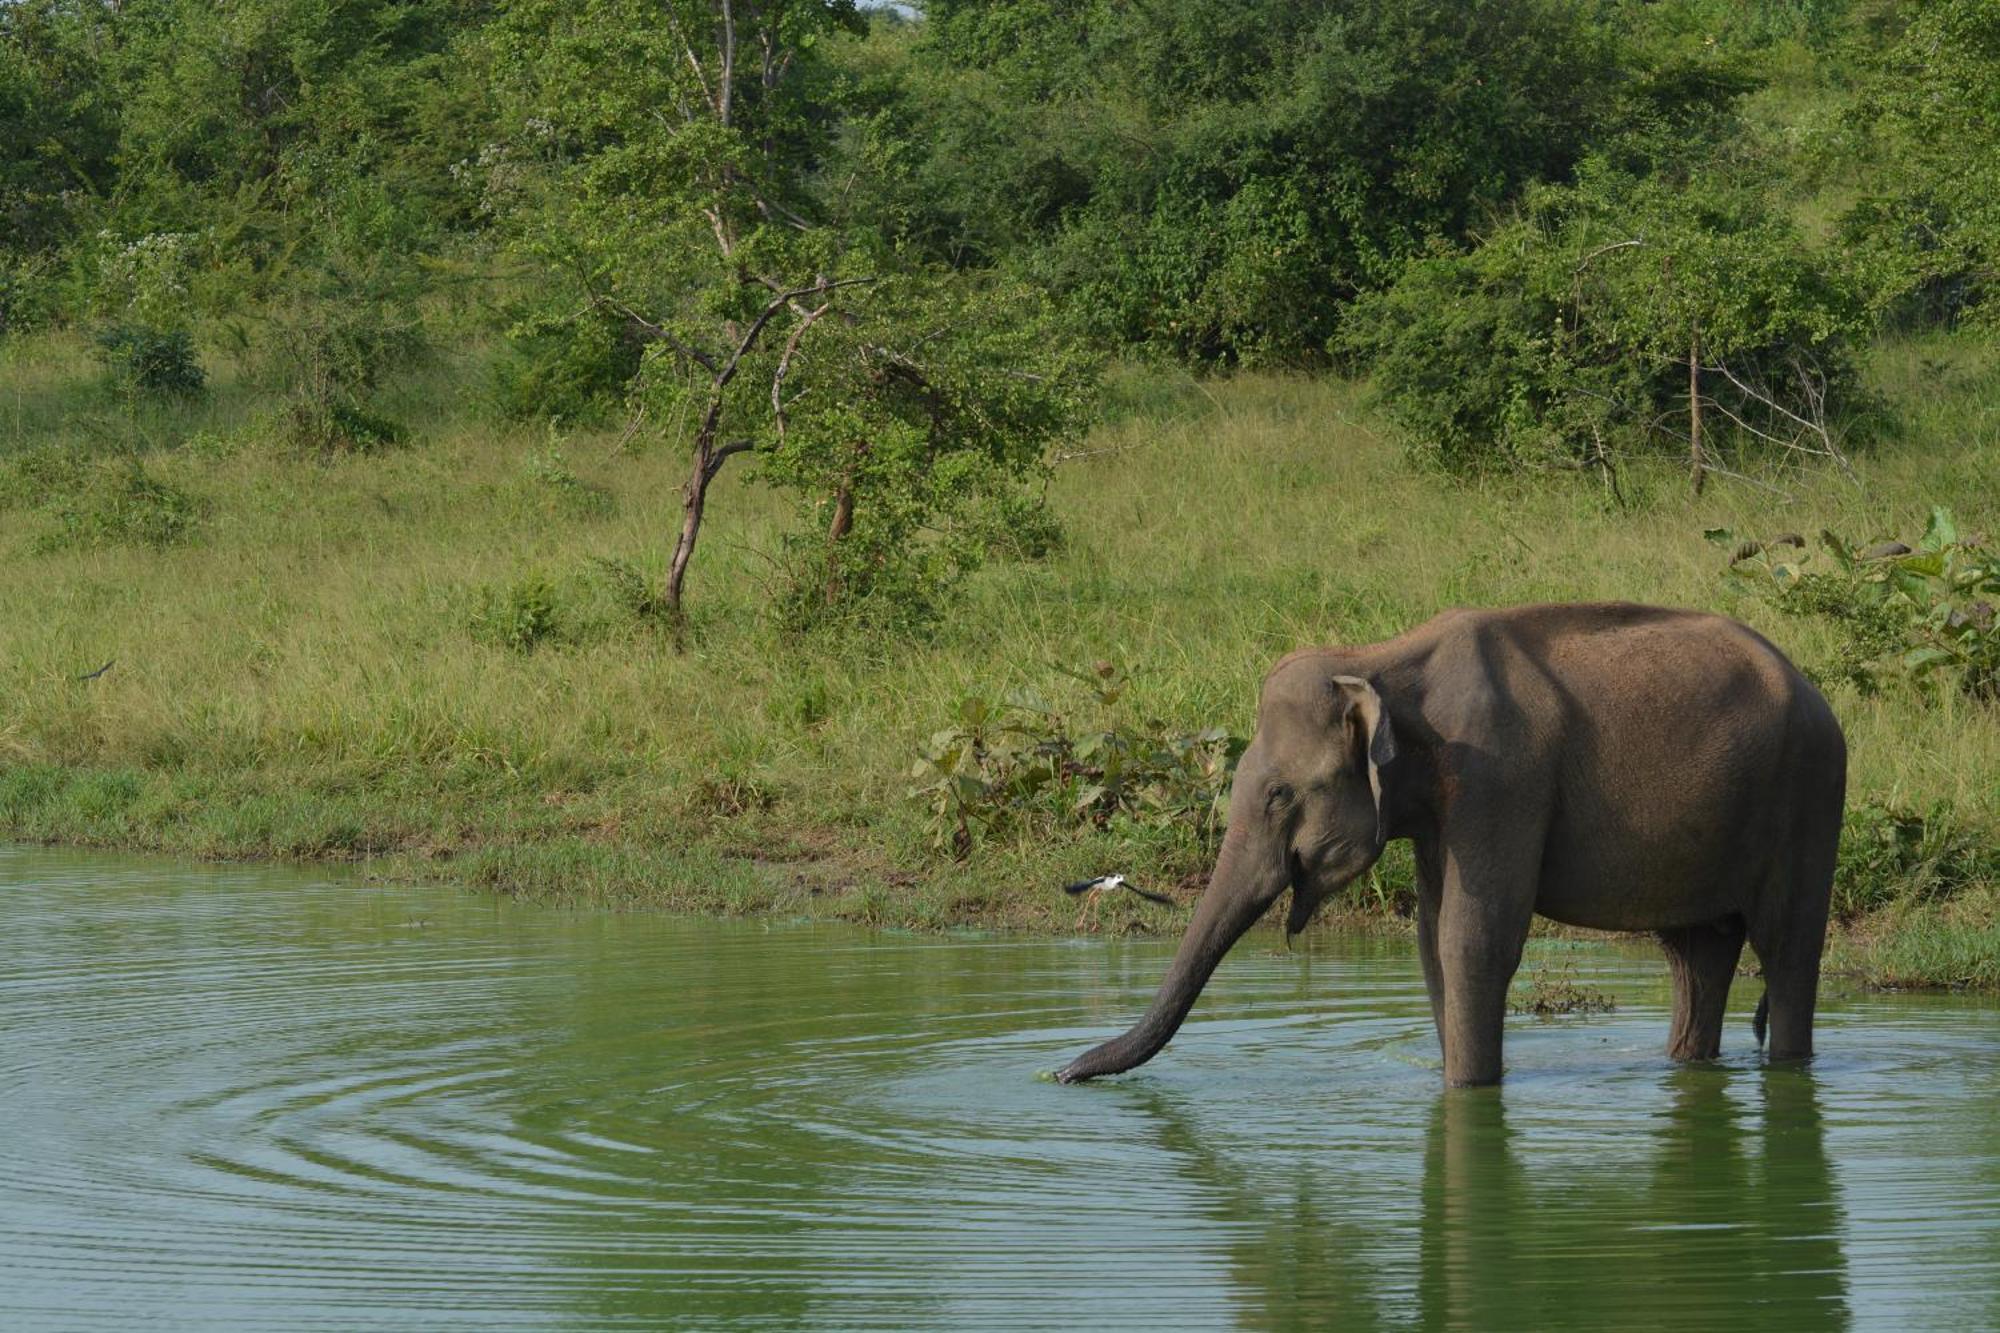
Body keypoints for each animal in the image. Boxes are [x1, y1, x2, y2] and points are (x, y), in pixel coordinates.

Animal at [1056, 600, 1848, 1080]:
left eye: (1279, 794)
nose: (1060, 1073)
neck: (1379, 658)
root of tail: (1815, 690)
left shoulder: (1495, 777)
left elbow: (1475, 940)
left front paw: (1470, 1092)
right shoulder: (1440, 808)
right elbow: (1431, 943)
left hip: (1809, 793)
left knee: (1786, 948)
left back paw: (1787, 1066)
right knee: (1698, 954)